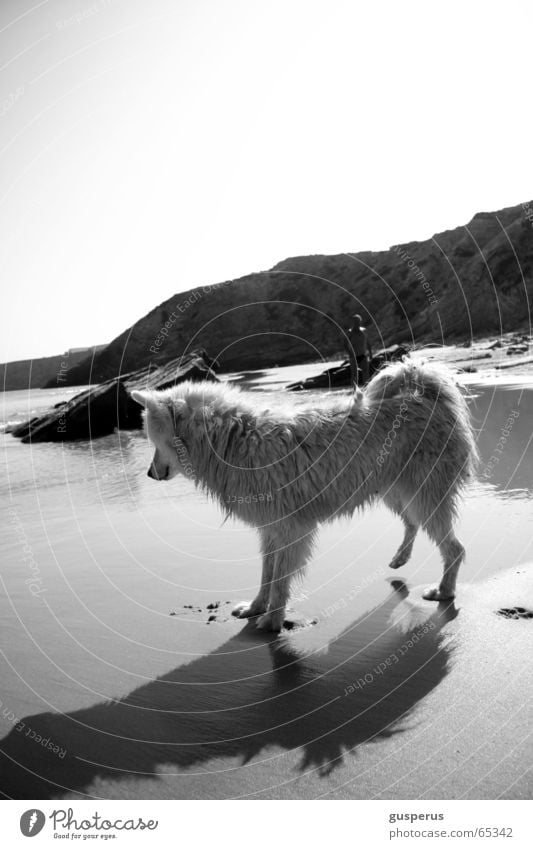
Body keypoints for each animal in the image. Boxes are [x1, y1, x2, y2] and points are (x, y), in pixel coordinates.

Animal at [131, 362, 476, 632]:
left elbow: (281, 580)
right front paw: (256, 608)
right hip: (394, 489)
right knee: (412, 523)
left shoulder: (291, 529)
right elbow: (267, 575)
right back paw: (400, 558)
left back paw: (444, 591)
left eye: (155, 442)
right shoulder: (270, 528)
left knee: (454, 548)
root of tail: (423, 390)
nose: (148, 474)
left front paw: (272, 621)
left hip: (423, 492)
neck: (234, 441)